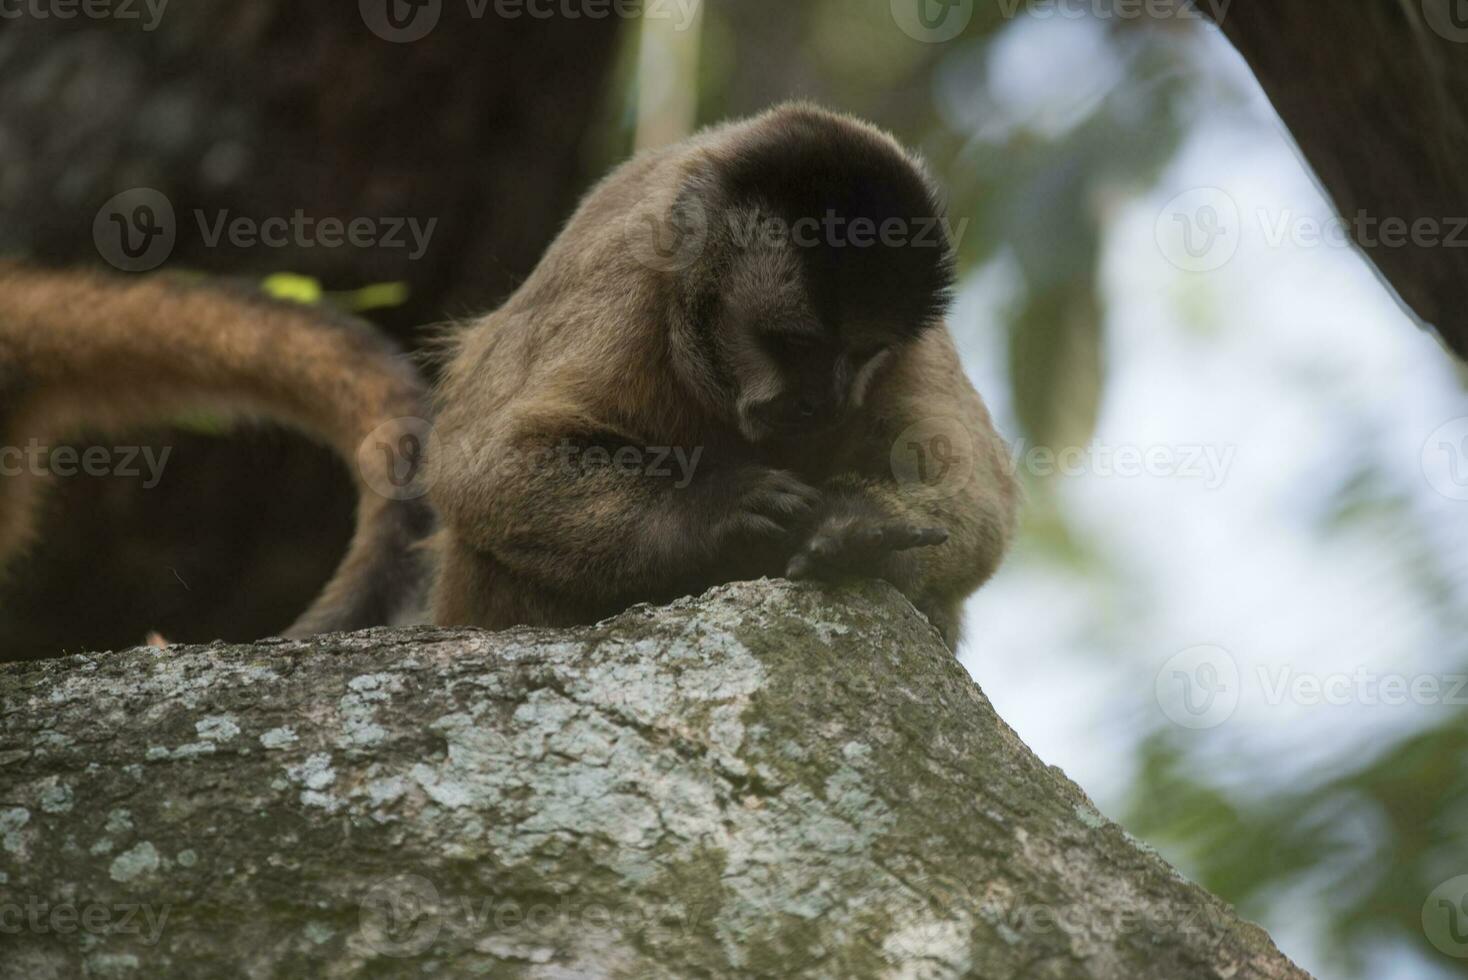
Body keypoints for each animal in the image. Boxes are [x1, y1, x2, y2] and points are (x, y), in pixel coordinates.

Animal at [0, 101, 1015, 651]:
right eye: (794, 344)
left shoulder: (917, 339)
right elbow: (478, 467)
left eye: (860, 354)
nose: (822, 396)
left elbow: (981, 504)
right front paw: (718, 516)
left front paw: (855, 524)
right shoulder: (625, 292)